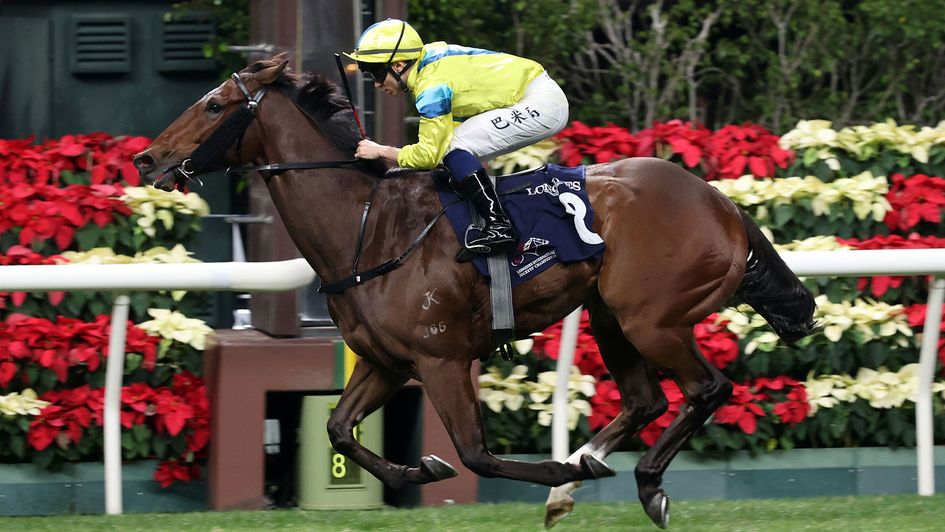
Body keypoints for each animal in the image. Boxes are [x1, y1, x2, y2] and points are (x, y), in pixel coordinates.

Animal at [129, 54, 816, 528]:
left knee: (708, 388)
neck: (367, 227)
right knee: (647, 400)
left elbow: (475, 454)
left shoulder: (442, 358)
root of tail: (720, 202)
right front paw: (418, 468)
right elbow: (339, 430)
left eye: (213, 105)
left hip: (652, 319)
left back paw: (639, 483)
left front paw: (548, 467)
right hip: (610, 315)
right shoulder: (384, 361)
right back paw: (579, 476)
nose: (147, 159)